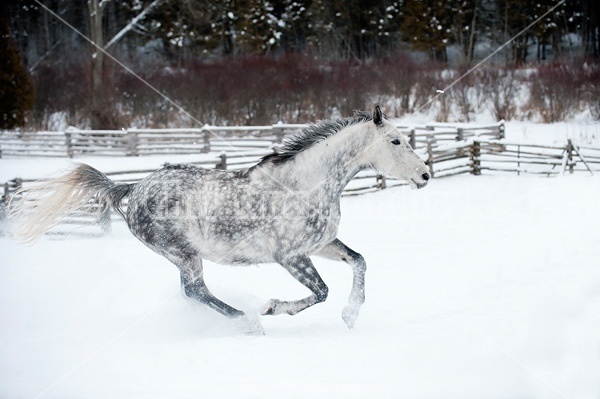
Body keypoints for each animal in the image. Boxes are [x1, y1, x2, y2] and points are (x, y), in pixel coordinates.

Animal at [12, 107, 432, 334]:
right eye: (396, 141)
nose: (426, 175)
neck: (303, 185)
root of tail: (135, 187)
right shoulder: (291, 257)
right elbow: (320, 292)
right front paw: (271, 308)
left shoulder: (322, 244)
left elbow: (359, 262)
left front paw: (350, 316)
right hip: (183, 254)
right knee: (195, 291)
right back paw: (248, 322)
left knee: (195, 292)